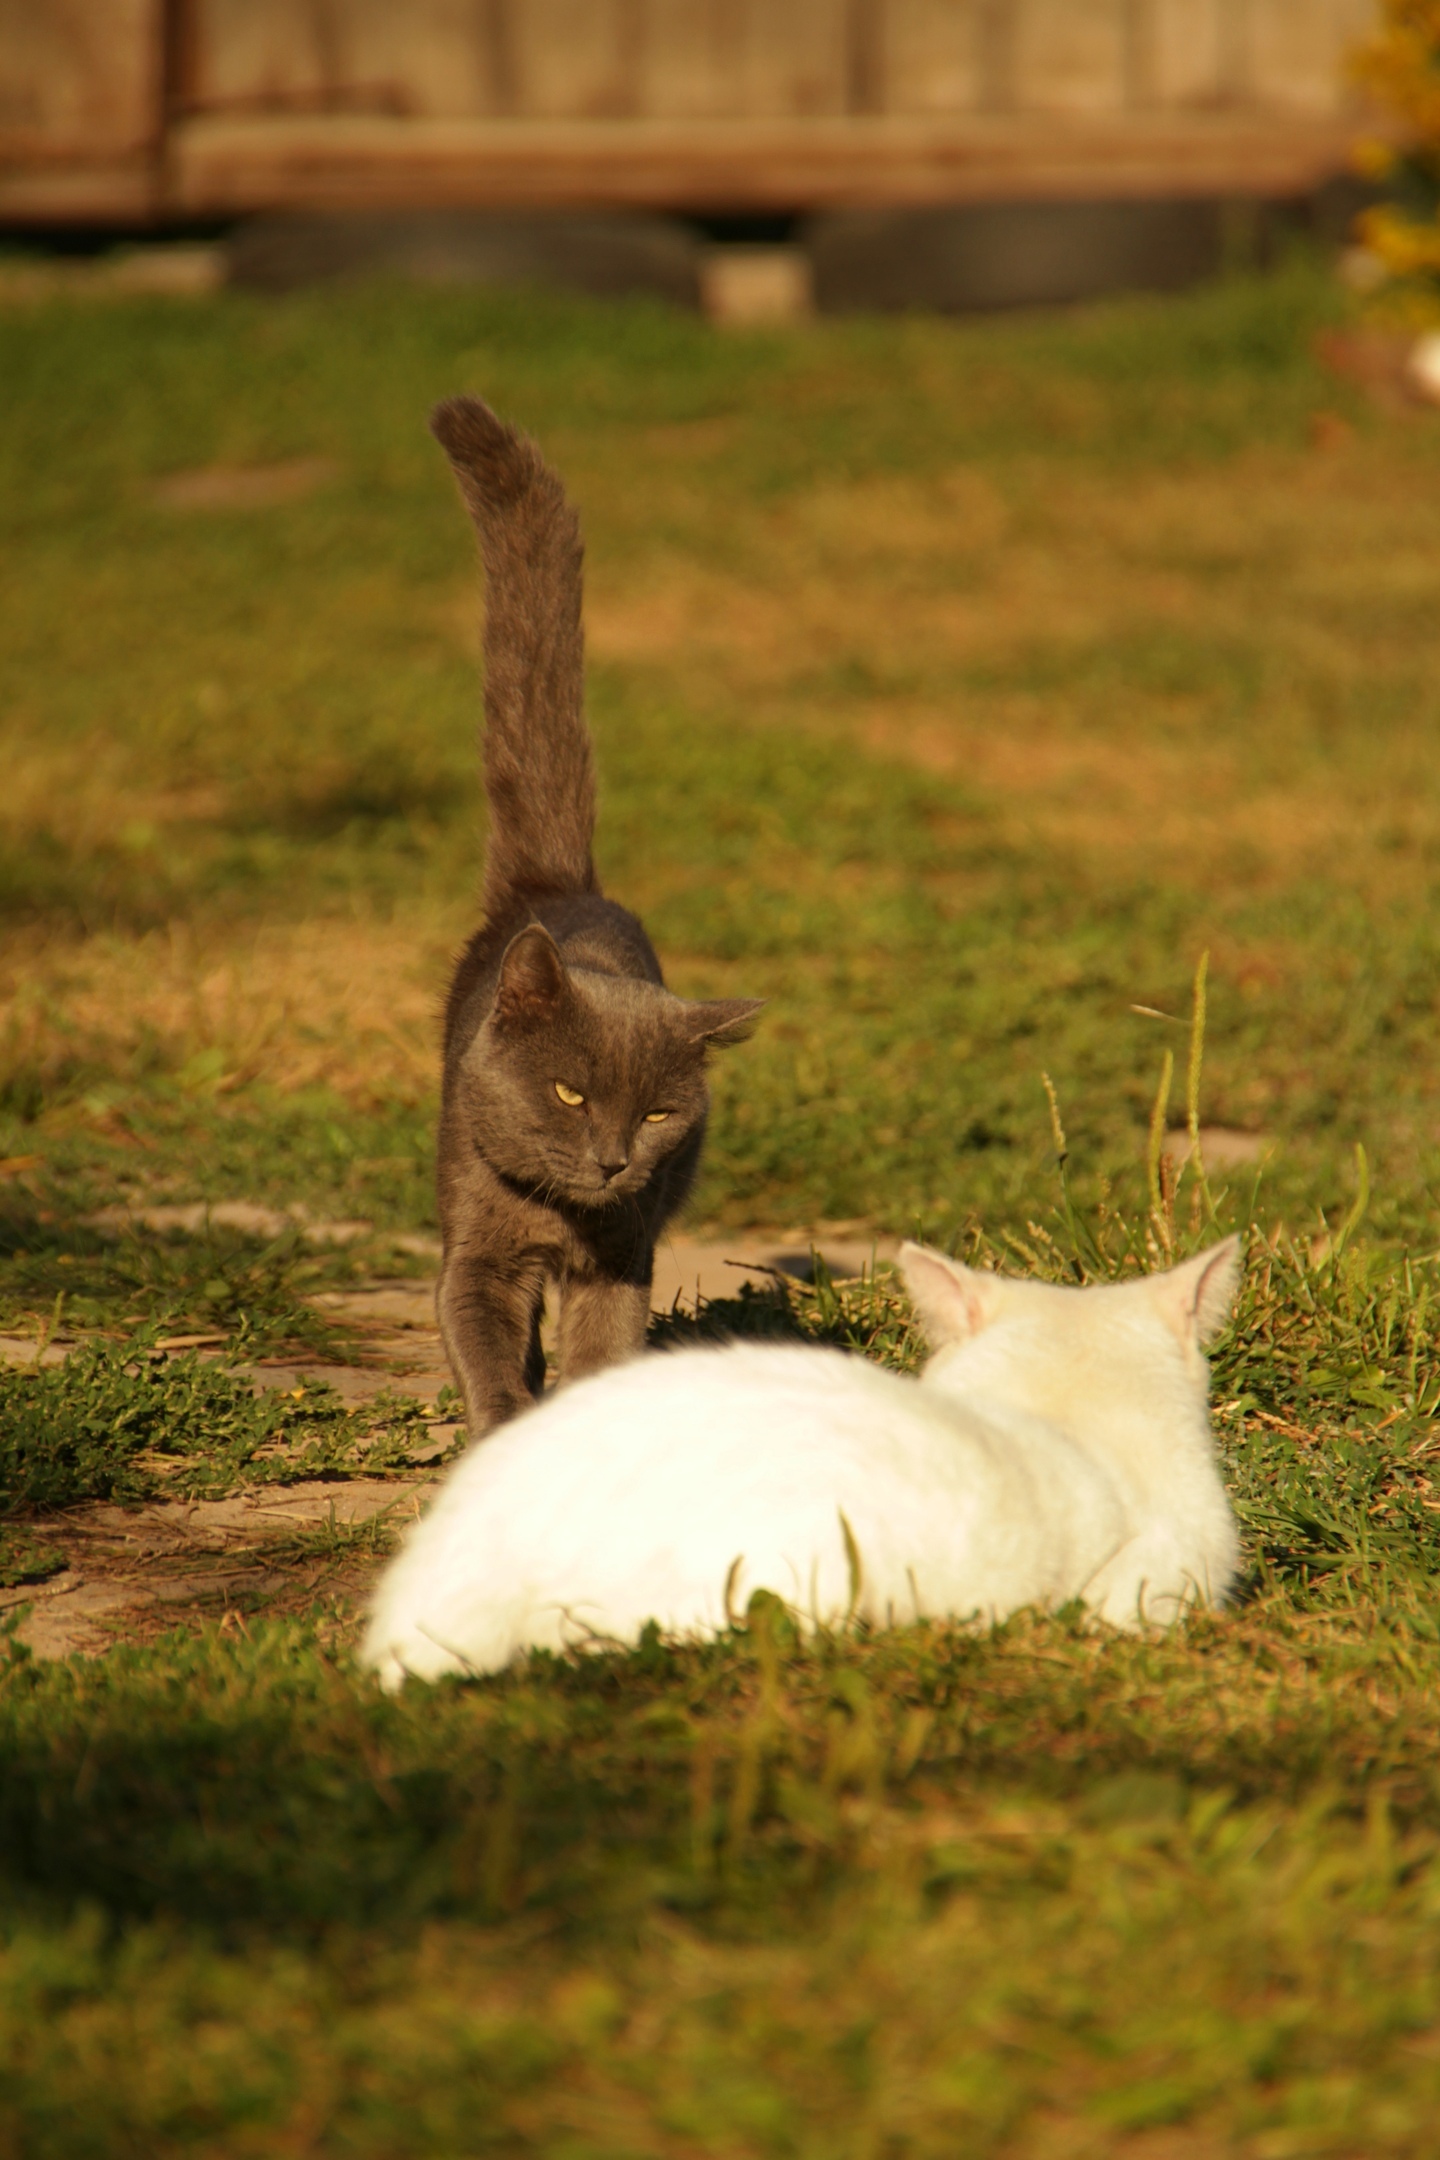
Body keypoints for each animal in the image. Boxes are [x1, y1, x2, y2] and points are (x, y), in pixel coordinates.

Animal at [431, 397, 759, 1442]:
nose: (615, 1163)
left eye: (656, 1114)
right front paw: (507, 1430)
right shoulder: (477, 1252)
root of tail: (556, 882)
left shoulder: (624, 1258)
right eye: (570, 1094)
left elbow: (604, 1351)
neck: (556, 1219)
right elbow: (486, 1344)